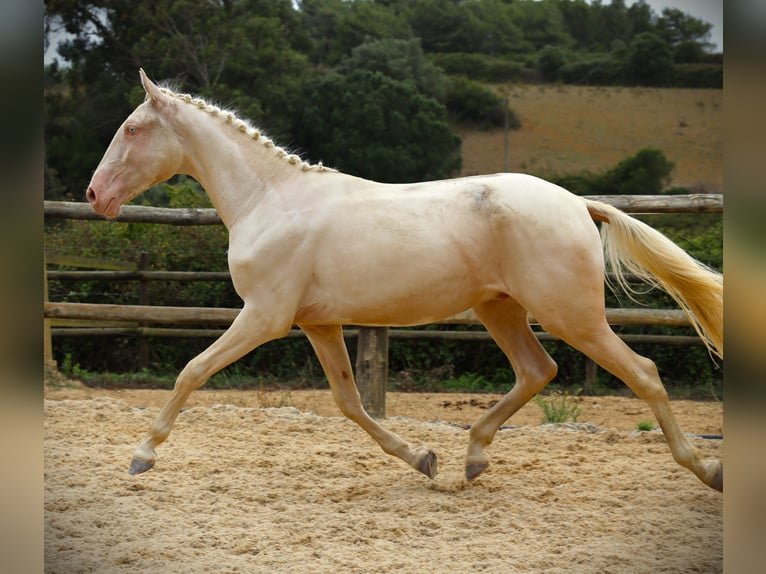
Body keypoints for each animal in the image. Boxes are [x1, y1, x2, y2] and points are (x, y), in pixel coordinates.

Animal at [87, 72, 724, 492]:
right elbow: (347, 401)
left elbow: (192, 370)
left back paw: (707, 469)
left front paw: (142, 456)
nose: (95, 195)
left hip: (572, 315)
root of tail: (576, 203)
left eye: (133, 128)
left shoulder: (264, 316)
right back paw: (471, 459)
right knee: (537, 370)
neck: (270, 200)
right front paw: (422, 458)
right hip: (501, 309)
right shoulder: (317, 323)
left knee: (643, 372)